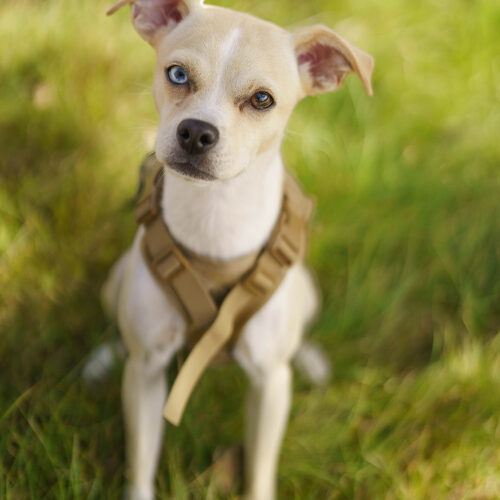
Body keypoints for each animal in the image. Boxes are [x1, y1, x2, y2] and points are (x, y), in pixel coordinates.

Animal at [99, 1, 374, 498]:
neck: (216, 214)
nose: (196, 132)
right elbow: (142, 462)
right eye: (177, 74)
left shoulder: (269, 385)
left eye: (262, 99)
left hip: (307, 292)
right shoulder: (147, 376)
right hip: (117, 279)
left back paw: (310, 359)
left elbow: (261, 469)